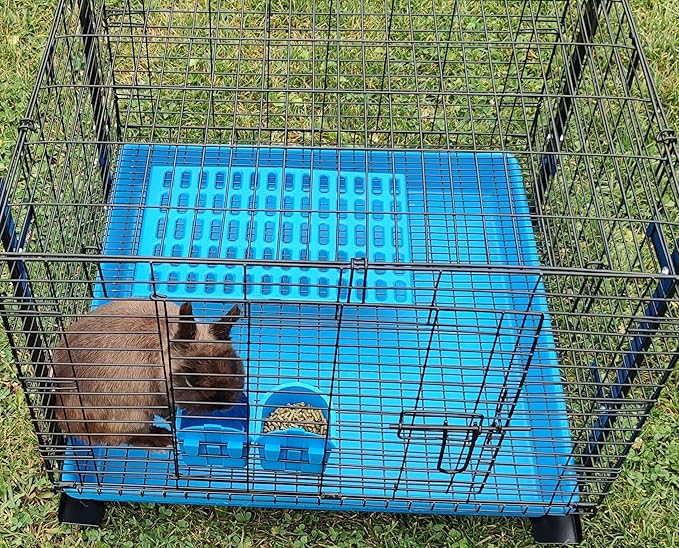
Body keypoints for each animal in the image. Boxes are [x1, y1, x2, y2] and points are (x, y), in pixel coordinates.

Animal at [52, 299, 244, 448]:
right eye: (190, 380)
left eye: (234, 367)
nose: (222, 404)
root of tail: (64, 419)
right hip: (132, 417)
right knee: (127, 437)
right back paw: (164, 440)